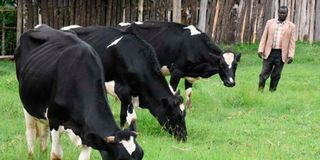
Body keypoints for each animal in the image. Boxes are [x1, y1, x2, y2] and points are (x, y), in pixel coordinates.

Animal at [15, 24, 143, 159]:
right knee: (30, 132)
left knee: (43, 133)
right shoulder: (54, 121)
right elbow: (56, 154)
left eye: (141, 154)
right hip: (28, 106)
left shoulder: (87, 132)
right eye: (120, 158)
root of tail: (41, 26)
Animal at [60, 25, 188, 141]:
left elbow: (123, 114)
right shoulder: (123, 90)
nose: (184, 137)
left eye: (184, 114)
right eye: (175, 115)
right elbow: (132, 117)